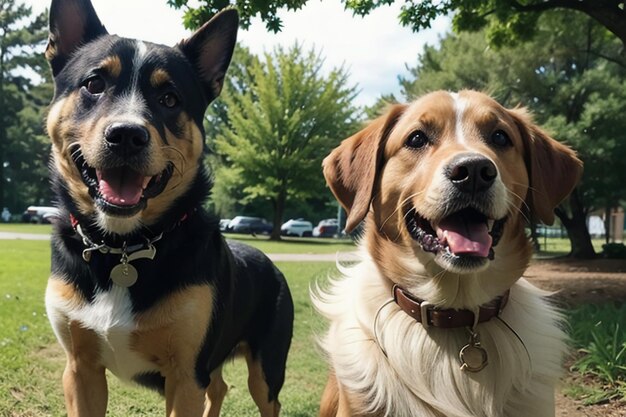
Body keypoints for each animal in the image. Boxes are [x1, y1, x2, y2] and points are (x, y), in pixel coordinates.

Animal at [44, 1, 292, 414]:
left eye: (170, 99)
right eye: (94, 84)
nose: (126, 135)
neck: (122, 248)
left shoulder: (186, 374)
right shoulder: (79, 369)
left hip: (266, 369)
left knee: (261, 396)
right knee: (219, 386)